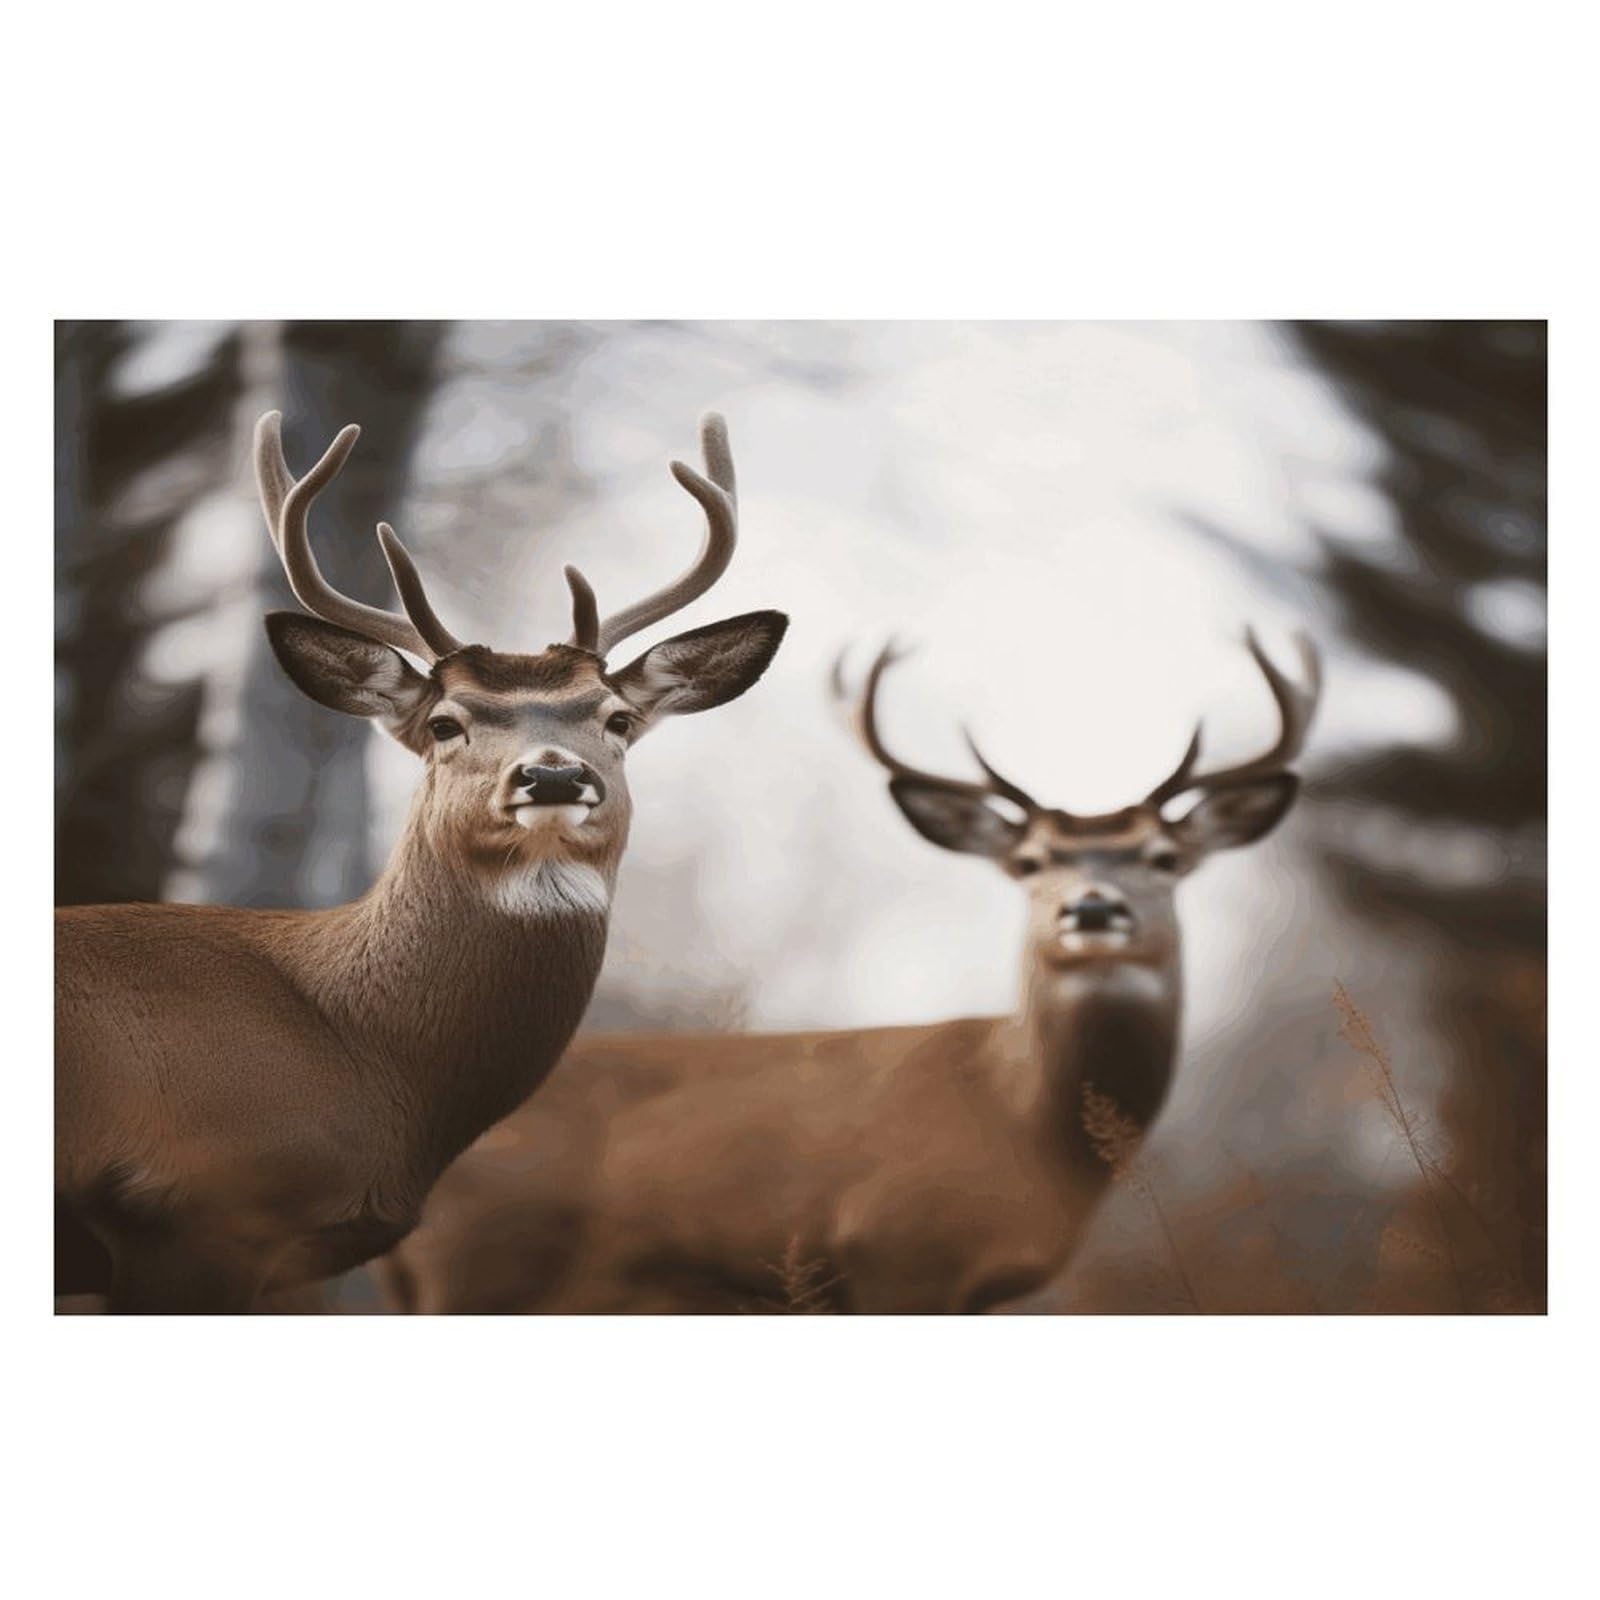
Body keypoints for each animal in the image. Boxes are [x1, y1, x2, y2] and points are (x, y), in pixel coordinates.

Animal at [374, 630, 1321, 1314]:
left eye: (1165, 858)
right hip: (483, 1264)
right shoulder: (898, 1251)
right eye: (1029, 861)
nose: (1090, 910)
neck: (1023, 1123)